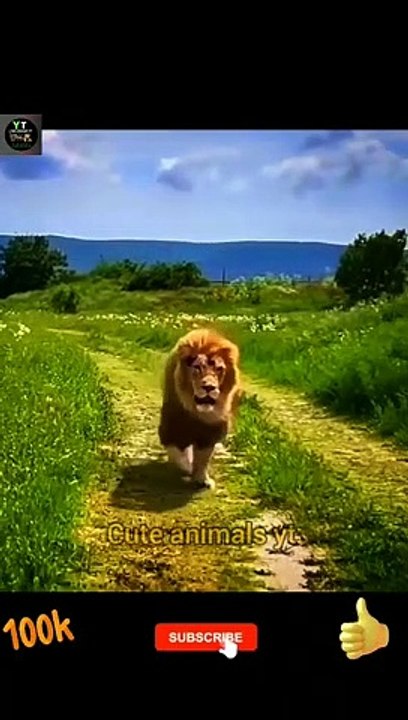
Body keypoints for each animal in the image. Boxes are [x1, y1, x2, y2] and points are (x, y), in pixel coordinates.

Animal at [158, 328, 242, 490]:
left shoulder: (209, 434)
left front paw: (202, 479)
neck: (199, 413)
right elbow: (178, 455)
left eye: (219, 369)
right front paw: (187, 467)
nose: (209, 387)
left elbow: (203, 459)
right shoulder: (172, 430)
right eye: (197, 367)